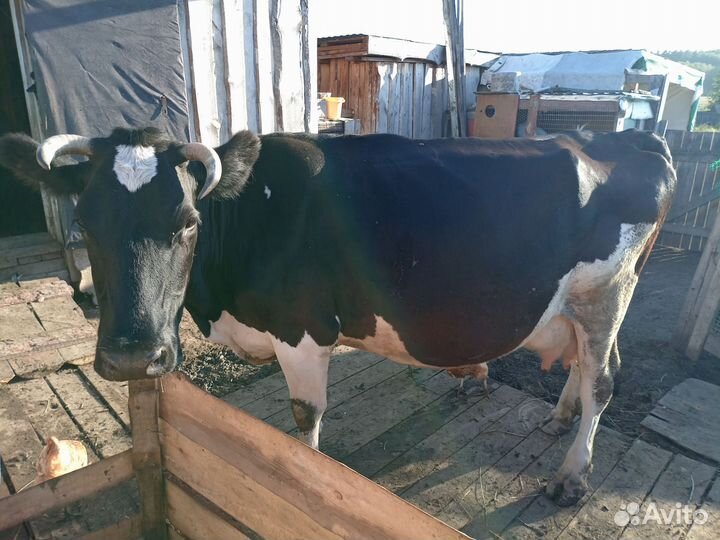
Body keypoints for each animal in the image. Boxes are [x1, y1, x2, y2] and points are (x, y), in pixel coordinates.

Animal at [0, 127, 675, 506]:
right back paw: (560, 419)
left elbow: (305, 419)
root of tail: (630, 137)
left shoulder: (302, 331)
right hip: (590, 302)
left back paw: (572, 477)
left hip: (607, 290)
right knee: (588, 366)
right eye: (85, 220)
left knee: (603, 380)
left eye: (187, 222)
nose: (135, 356)